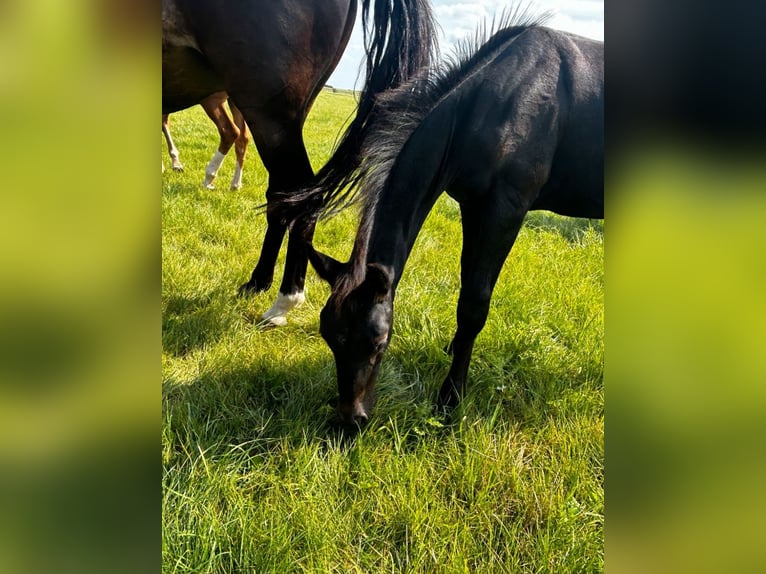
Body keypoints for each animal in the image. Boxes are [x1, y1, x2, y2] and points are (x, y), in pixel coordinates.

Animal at [300, 20, 608, 426]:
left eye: (377, 342)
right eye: (329, 336)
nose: (352, 420)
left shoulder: (504, 210)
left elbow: (474, 304)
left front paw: (450, 398)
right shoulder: (471, 207)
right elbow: (465, 289)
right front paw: (455, 351)